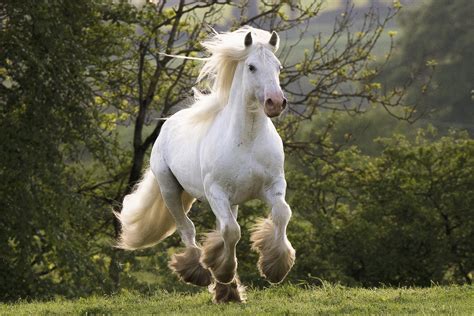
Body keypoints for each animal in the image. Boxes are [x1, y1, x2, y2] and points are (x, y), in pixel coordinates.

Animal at [116, 27, 294, 304]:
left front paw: (275, 268)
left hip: (232, 201)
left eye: (278, 66)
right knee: (186, 228)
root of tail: (168, 124)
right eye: (252, 67)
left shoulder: (273, 186)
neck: (248, 140)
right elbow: (231, 232)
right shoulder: (216, 193)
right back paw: (197, 272)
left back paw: (227, 290)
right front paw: (223, 274)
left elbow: (282, 214)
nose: (275, 102)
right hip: (170, 190)